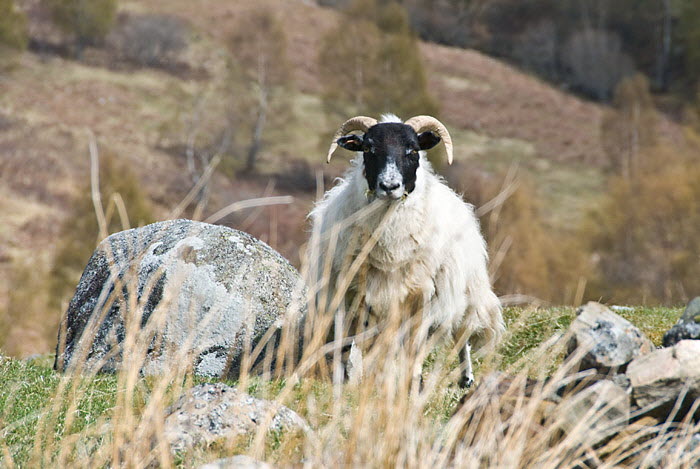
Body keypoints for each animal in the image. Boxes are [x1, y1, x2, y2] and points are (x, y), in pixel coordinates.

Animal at [309, 114, 504, 387]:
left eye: (412, 150)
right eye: (368, 148)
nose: (390, 186)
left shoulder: (423, 296)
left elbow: (415, 347)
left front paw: (412, 383)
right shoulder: (357, 293)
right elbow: (358, 343)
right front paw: (354, 380)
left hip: (466, 291)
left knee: (462, 335)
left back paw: (466, 379)